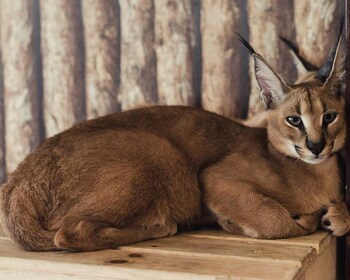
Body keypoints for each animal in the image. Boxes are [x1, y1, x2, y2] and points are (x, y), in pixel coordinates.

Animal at [0, 25, 348, 252]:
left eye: (329, 117)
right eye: (294, 120)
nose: (316, 146)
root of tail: (18, 181)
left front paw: (331, 215)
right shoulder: (213, 176)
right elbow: (279, 222)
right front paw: (238, 223)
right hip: (158, 153)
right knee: (69, 234)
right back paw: (160, 226)